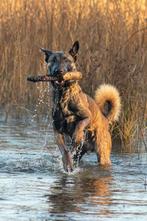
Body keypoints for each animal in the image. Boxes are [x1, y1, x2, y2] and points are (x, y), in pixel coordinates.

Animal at [27, 41, 120, 173]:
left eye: (66, 60)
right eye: (53, 60)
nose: (58, 72)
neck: (64, 95)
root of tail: (106, 119)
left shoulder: (86, 117)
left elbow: (79, 126)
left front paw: (77, 136)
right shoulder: (57, 130)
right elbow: (64, 150)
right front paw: (67, 163)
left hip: (102, 153)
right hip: (80, 154)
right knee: (74, 154)